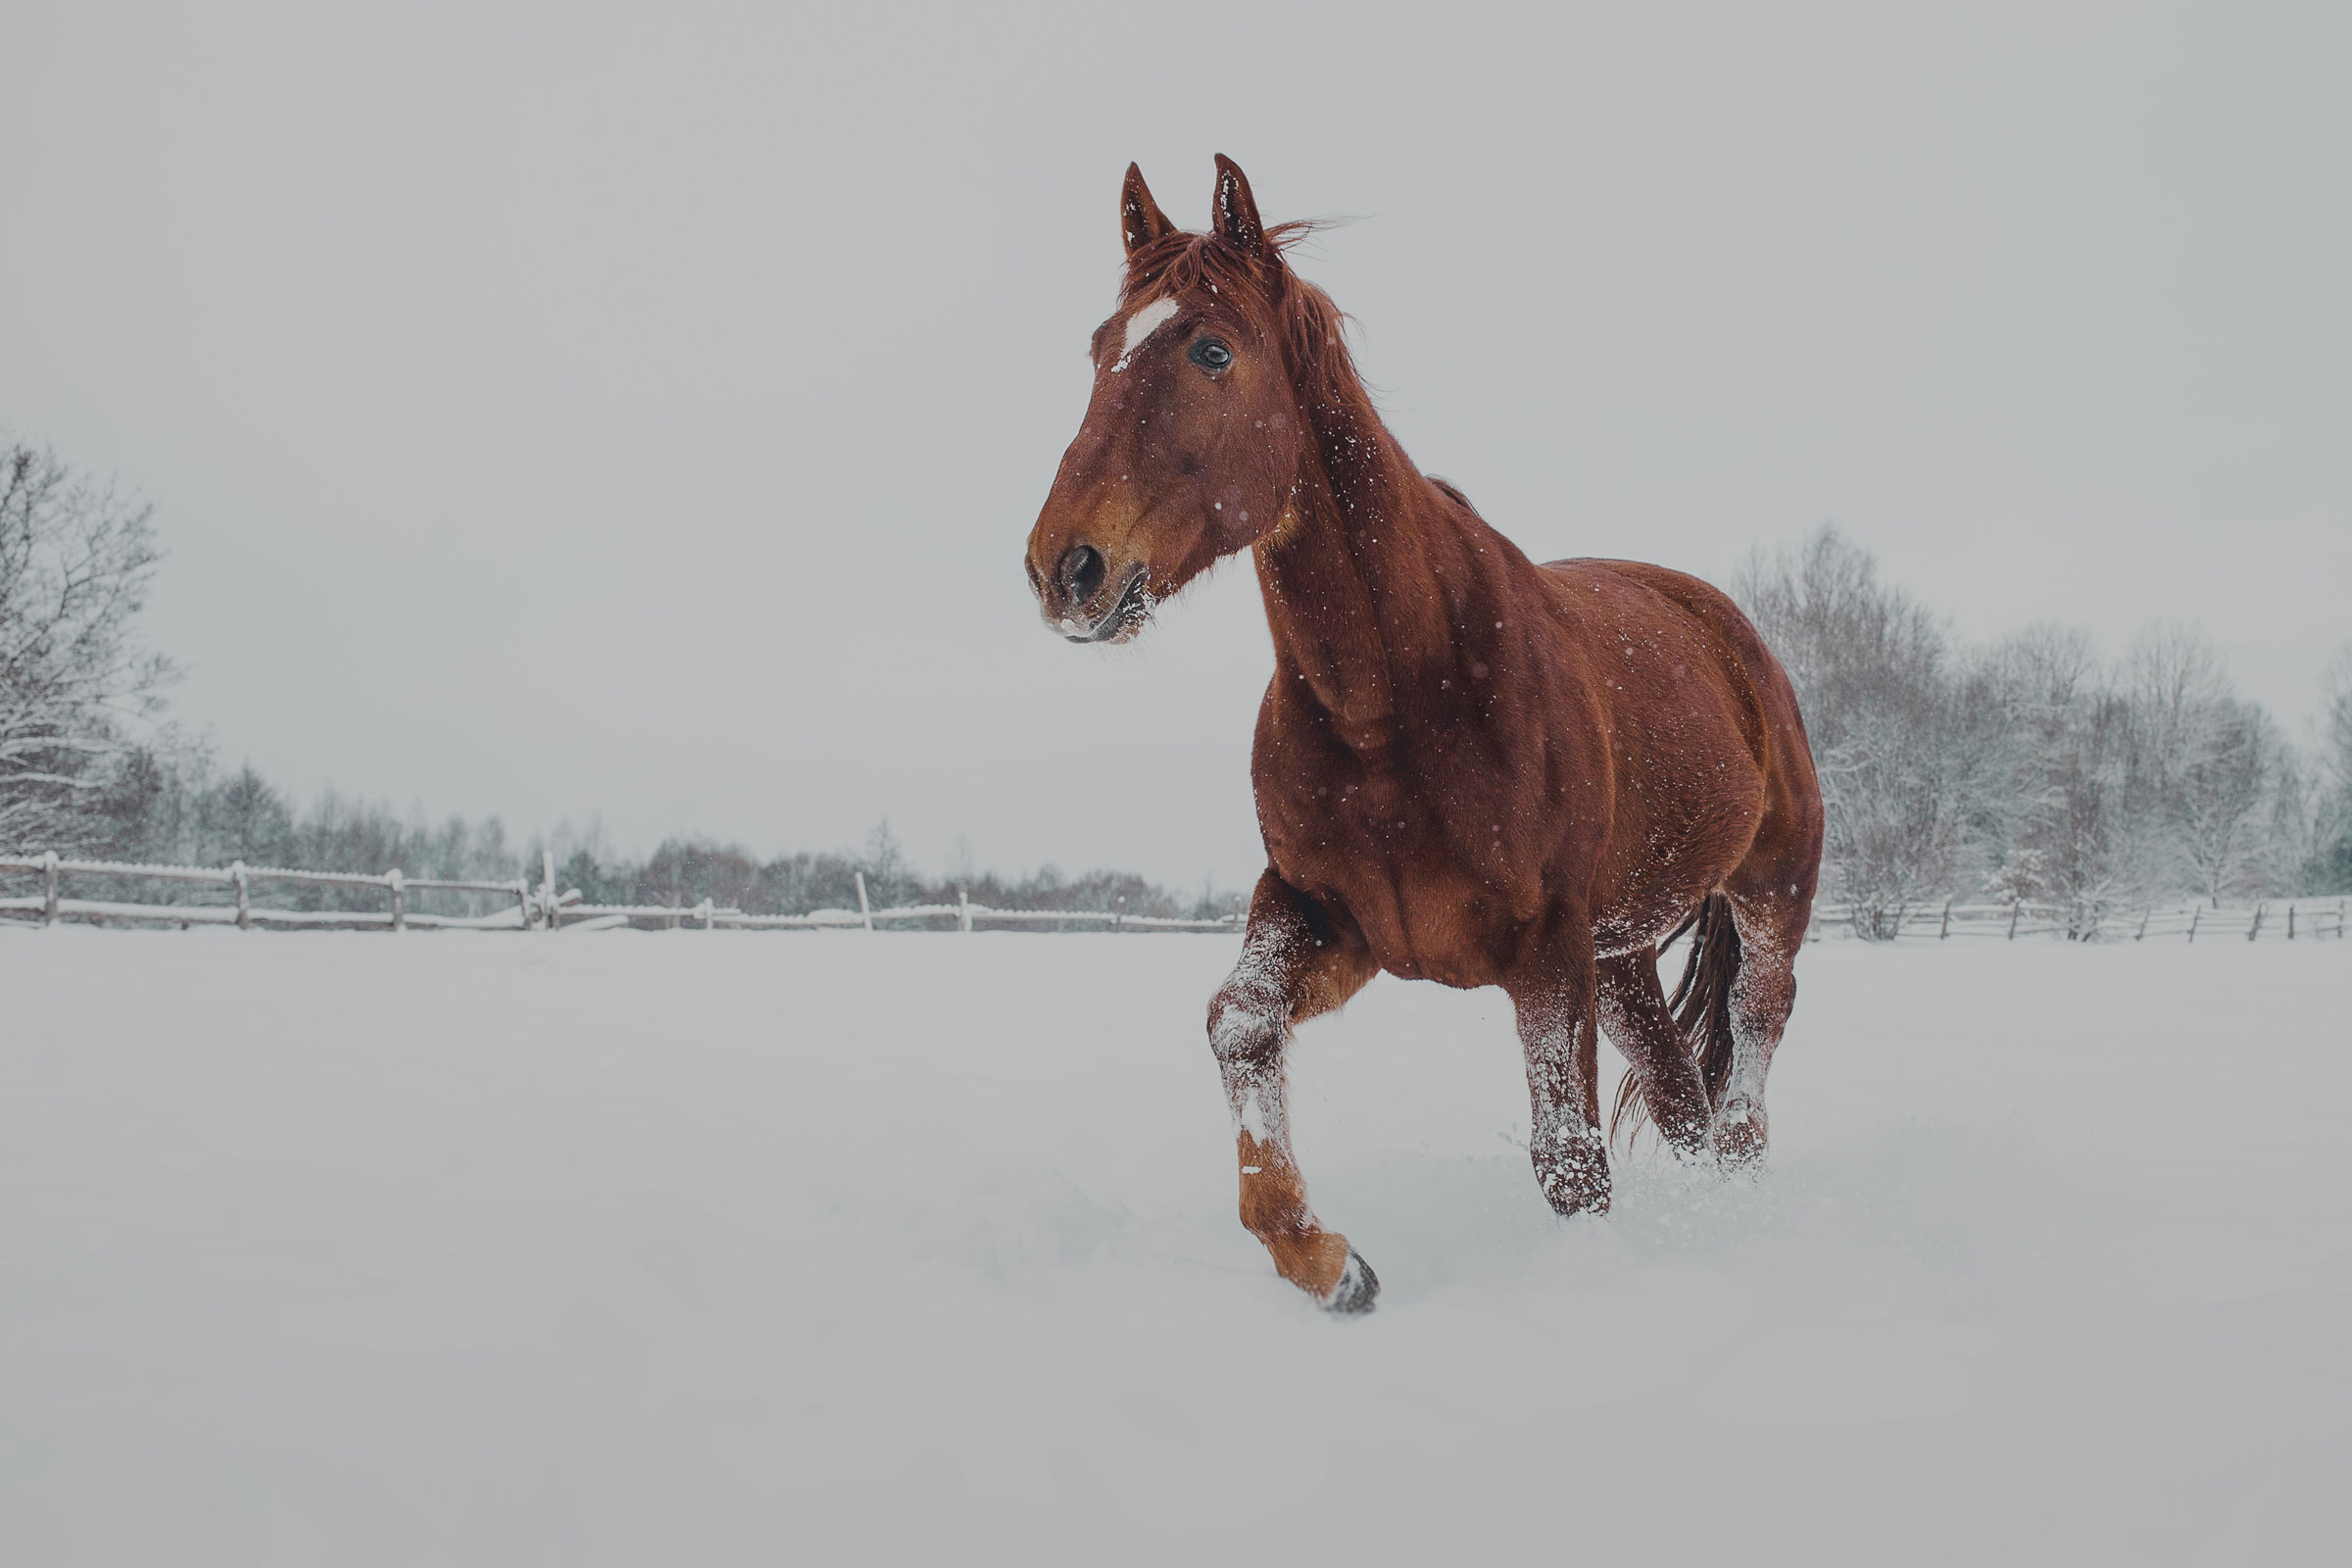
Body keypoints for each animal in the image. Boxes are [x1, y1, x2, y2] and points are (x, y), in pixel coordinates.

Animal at [1025, 156, 1815, 1316]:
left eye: (1212, 350)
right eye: (1098, 346)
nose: (1064, 568)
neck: (1395, 704)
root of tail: (1731, 633)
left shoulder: (1544, 954)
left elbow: (1570, 1161)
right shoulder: (1330, 917)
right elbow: (1237, 1023)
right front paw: (1329, 1264)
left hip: (1767, 900)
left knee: (1750, 1075)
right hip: (1622, 955)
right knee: (1684, 1101)